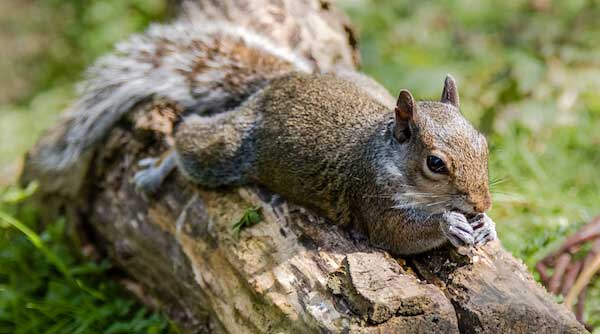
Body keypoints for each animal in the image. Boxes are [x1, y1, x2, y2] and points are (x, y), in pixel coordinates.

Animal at [27, 0, 496, 256]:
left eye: (484, 144)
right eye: (435, 163)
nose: (482, 204)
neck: (385, 155)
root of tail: (279, 84)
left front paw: (486, 226)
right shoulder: (372, 200)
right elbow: (398, 236)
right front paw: (449, 224)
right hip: (224, 151)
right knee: (188, 137)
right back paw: (158, 168)